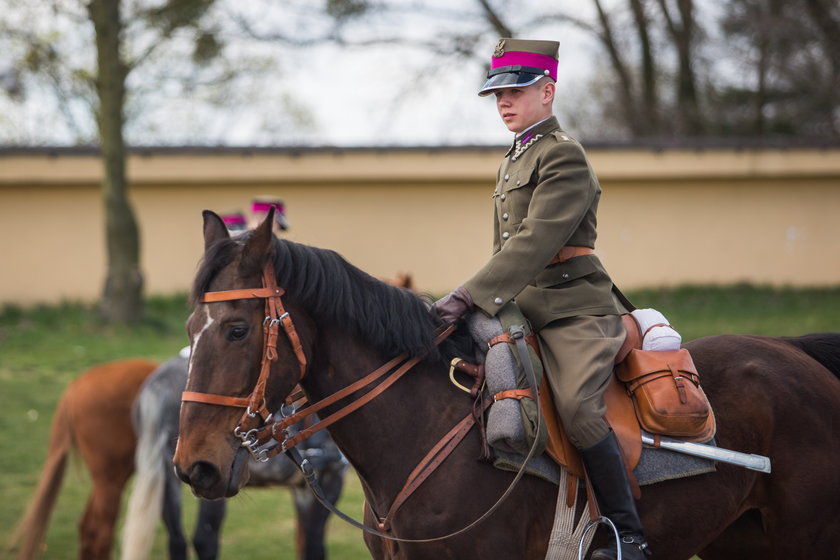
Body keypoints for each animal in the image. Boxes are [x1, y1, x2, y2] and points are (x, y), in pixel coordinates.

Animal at [120, 356, 346, 556]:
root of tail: (160, 385)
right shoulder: (329, 478)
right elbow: (314, 544)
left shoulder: (304, 489)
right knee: (204, 539)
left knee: (176, 541)